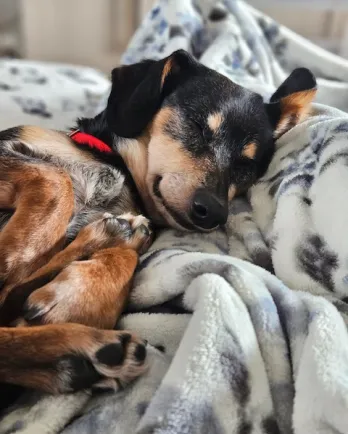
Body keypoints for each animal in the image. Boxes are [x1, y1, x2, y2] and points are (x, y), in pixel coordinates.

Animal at [0, 50, 316, 396]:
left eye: (247, 165)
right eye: (199, 127)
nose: (214, 212)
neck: (116, 166)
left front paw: (76, 299)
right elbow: (56, 179)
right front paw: (19, 253)